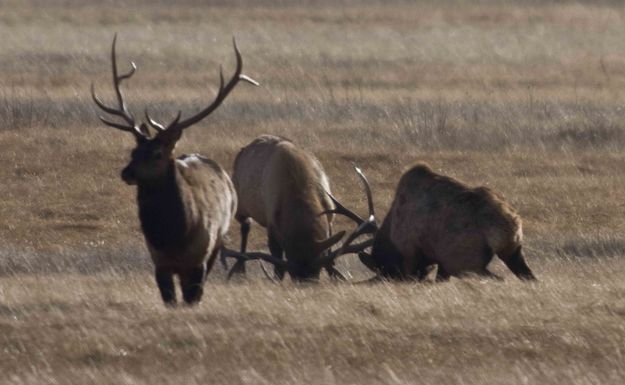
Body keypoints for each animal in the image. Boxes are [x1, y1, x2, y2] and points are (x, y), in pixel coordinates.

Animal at [91, 33, 258, 304]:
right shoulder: (159, 261)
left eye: (158, 154)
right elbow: (170, 300)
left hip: (219, 240)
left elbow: (192, 298)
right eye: (133, 152)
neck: (174, 235)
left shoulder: (201, 256)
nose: (126, 173)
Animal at [219, 134, 346, 280]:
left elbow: (330, 250)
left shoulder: (330, 216)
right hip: (239, 205)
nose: (307, 281)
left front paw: (334, 275)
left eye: (316, 269)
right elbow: (277, 261)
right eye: (293, 273)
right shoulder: (271, 221)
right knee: (245, 227)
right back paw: (240, 268)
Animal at [334, 160, 532, 280]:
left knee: (499, 278)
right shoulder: (440, 263)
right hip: (513, 252)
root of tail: (510, 222)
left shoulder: (412, 256)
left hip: (466, 263)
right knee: (529, 276)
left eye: (385, 273)